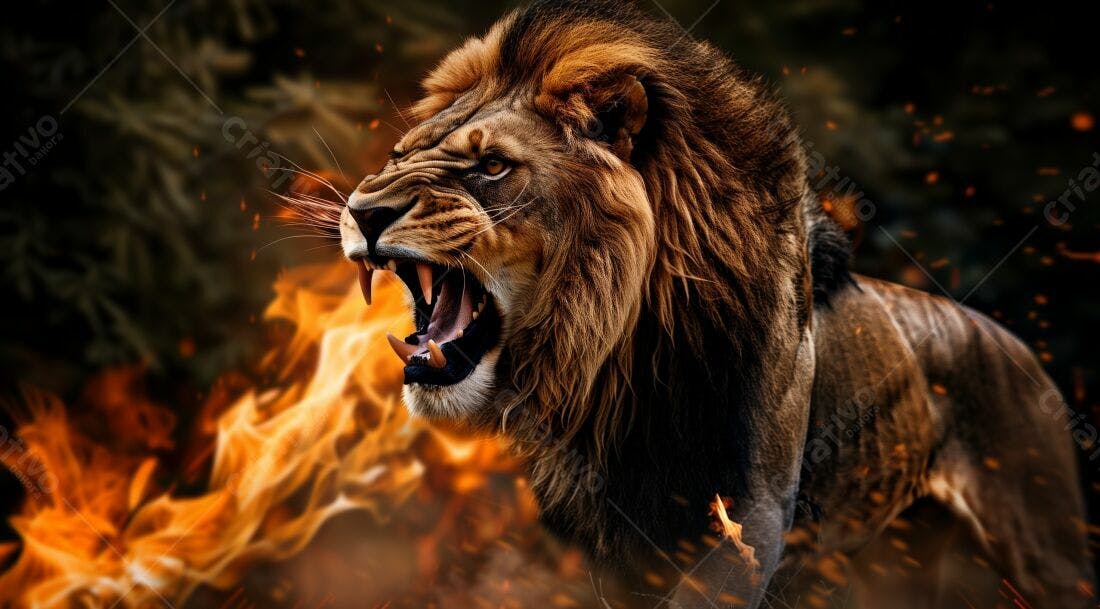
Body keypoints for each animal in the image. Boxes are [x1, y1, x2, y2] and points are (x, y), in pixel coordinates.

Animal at [337, 1, 1095, 607]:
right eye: (400, 154)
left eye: (493, 166)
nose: (363, 211)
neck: (628, 351)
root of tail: (1013, 343)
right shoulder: (609, 532)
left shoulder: (751, 512)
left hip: (1045, 545)